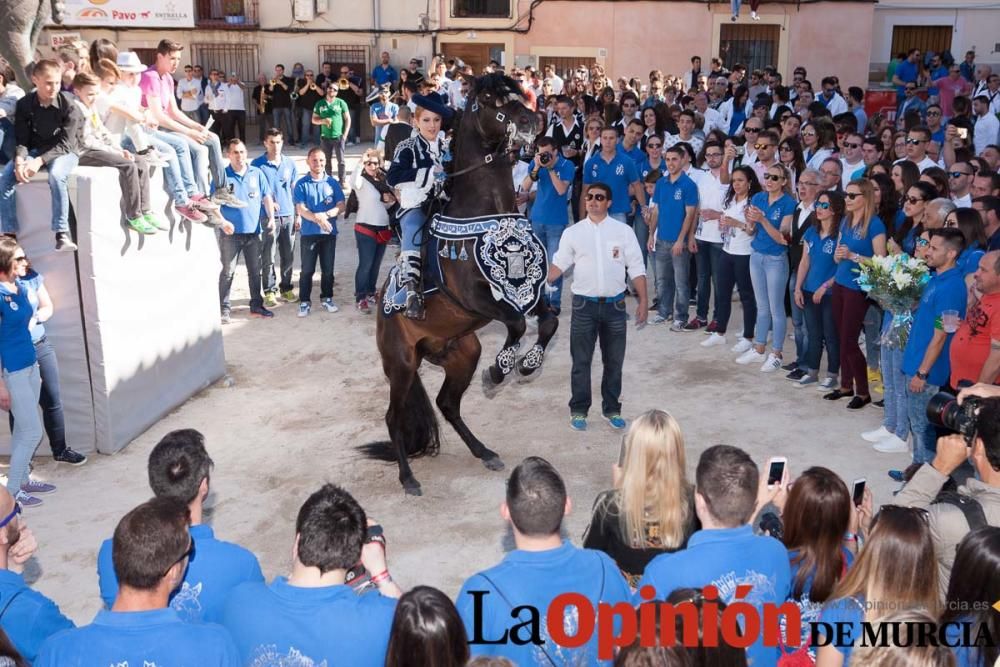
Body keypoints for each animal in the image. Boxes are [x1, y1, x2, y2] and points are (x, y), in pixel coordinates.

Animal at [370, 77, 560, 496]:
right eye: (489, 100)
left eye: (519, 93)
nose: (531, 121)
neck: (487, 213)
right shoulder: (476, 299)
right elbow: (518, 325)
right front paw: (500, 370)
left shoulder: (525, 291)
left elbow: (549, 321)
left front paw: (527, 365)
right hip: (401, 363)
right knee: (393, 417)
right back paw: (408, 478)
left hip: (462, 353)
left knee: (447, 404)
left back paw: (484, 452)